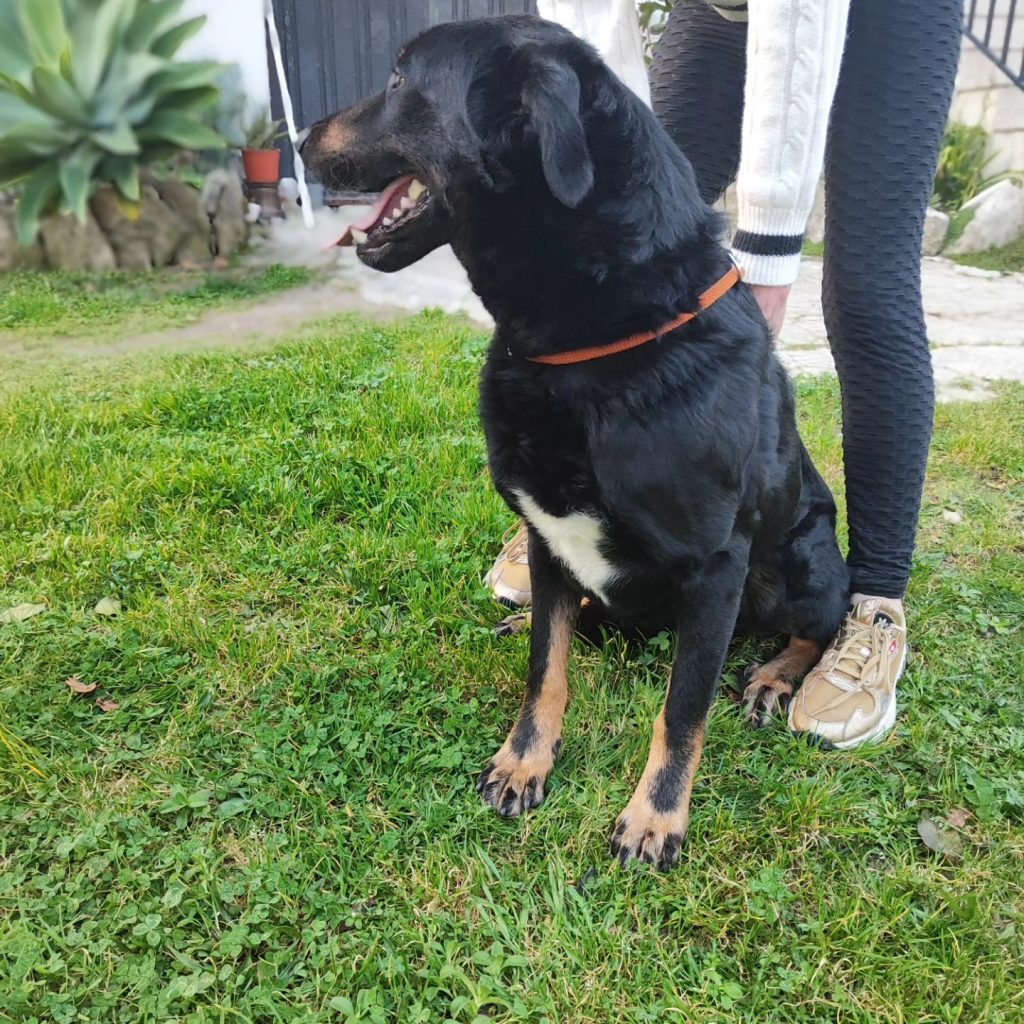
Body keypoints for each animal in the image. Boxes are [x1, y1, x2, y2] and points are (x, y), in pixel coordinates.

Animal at [301, 15, 850, 870]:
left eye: (397, 81)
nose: (293, 138)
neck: (590, 349)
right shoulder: (547, 538)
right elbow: (545, 669)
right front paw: (524, 761)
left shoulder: (716, 565)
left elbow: (682, 708)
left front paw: (656, 815)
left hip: (801, 564)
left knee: (821, 623)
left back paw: (773, 677)